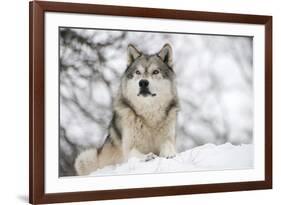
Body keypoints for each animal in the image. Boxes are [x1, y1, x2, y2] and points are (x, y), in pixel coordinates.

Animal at [74, 43, 179, 175]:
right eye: (138, 72)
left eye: (155, 72)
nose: (143, 83)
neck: (148, 115)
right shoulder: (129, 148)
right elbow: (135, 153)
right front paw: (147, 156)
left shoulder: (169, 138)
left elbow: (168, 145)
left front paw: (169, 154)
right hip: (85, 157)